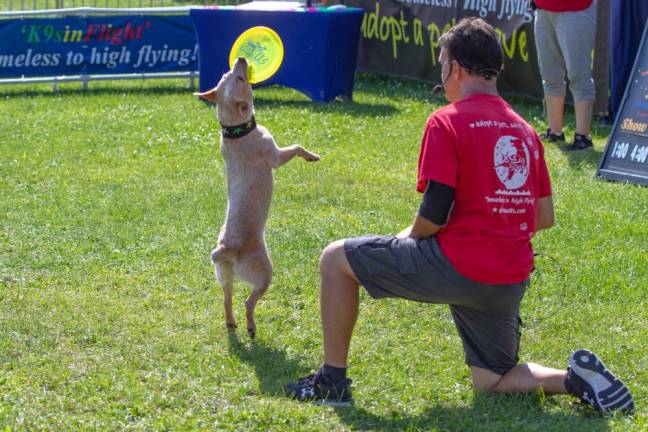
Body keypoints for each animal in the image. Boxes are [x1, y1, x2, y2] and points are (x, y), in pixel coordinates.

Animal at [195, 57, 322, 340]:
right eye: (240, 79)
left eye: (229, 73)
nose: (241, 59)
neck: (236, 130)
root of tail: (226, 249)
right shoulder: (276, 156)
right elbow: (295, 147)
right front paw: (311, 156)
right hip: (264, 273)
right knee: (248, 302)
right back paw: (251, 326)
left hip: (224, 275)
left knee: (227, 298)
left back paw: (232, 323)